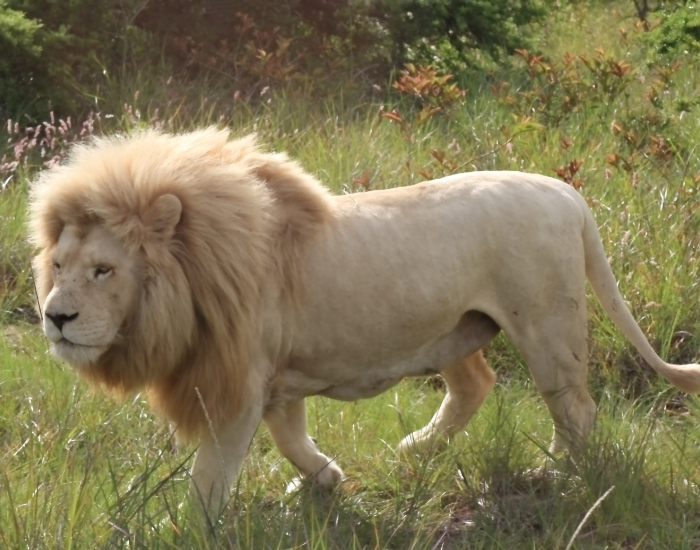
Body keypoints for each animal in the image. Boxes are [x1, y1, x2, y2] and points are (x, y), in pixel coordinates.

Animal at [29, 128, 700, 514]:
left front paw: (194, 525)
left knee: (575, 409)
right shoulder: (274, 375)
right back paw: (417, 450)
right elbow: (289, 437)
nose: (56, 317)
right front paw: (323, 481)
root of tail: (567, 194)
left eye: (104, 271)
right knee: (476, 386)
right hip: (458, 326)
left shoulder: (237, 381)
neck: (189, 281)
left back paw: (555, 474)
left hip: (546, 328)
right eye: (58, 264)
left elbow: (212, 471)